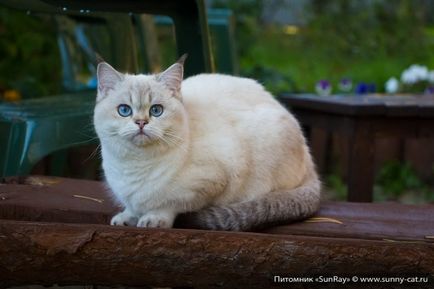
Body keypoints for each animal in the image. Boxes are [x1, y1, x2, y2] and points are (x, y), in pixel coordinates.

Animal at [94, 53, 318, 230]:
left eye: (156, 110)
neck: (134, 165)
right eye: (124, 110)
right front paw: (126, 217)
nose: (141, 122)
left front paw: (153, 219)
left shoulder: (210, 183)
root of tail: (310, 161)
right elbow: (132, 207)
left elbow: (167, 205)